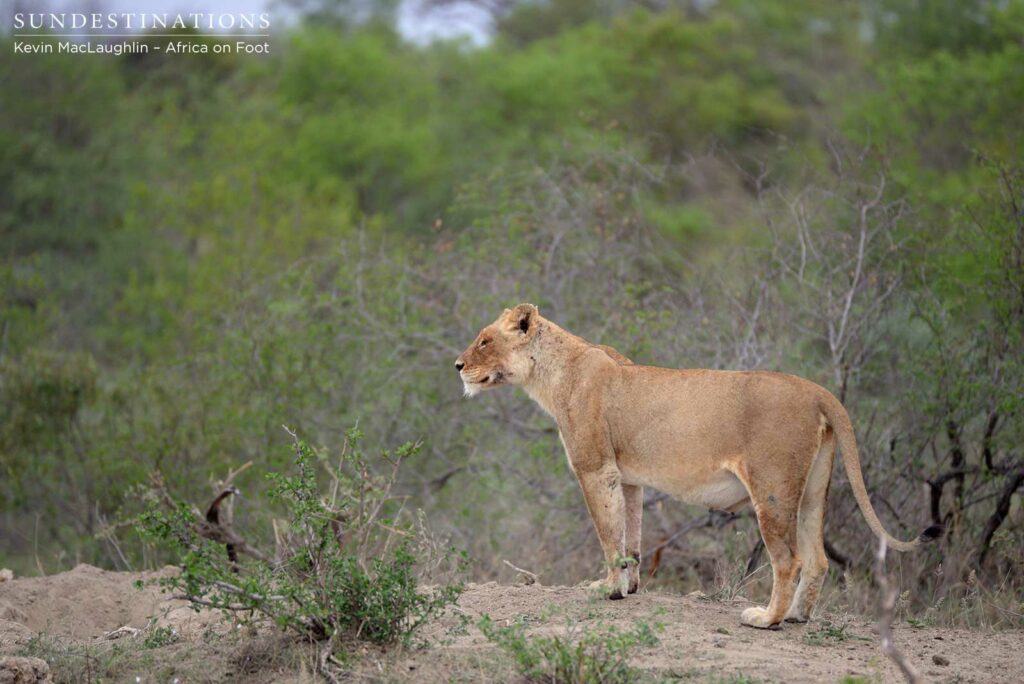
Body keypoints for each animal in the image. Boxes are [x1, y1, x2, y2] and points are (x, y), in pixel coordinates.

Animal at [455, 303, 942, 628]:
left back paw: (767, 618)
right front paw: (629, 587)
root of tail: (819, 391)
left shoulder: (595, 468)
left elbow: (608, 533)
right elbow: (632, 534)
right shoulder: (628, 478)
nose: (457, 365)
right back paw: (799, 616)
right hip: (811, 489)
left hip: (772, 489)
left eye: (485, 340)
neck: (554, 372)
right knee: (819, 559)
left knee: (790, 559)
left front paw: (607, 589)